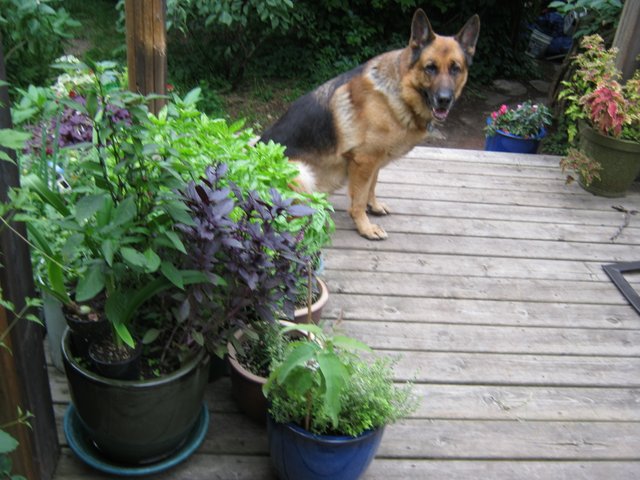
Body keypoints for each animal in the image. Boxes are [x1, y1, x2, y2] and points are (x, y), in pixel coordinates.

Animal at [258, 7, 478, 240]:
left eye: (455, 69)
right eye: (430, 68)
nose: (444, 99)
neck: (400, 91)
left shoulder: (374, 161)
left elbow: (371, 187)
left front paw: (374, 206)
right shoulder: (364, 161)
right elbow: (359, 200)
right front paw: (365, 227)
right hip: (301, 173)